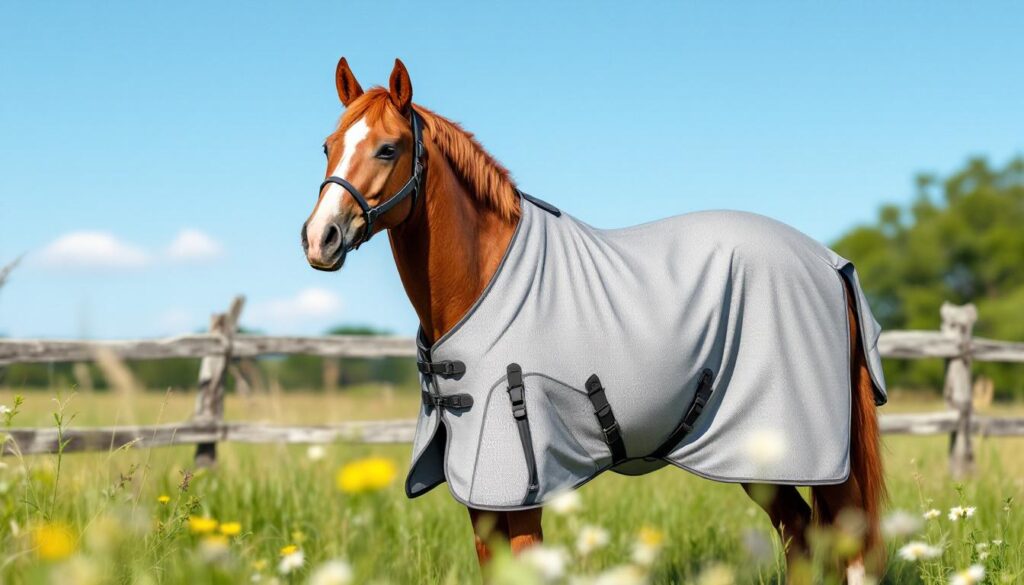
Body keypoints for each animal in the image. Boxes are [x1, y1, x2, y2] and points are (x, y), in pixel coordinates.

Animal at [301, 58, 886, 583]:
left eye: (388, 148)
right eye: (328, 146)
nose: (319, 238)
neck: (483, 282)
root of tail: (829, 262)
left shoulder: (521, 488)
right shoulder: (480, 492)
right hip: (760, 460)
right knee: (802, 536)